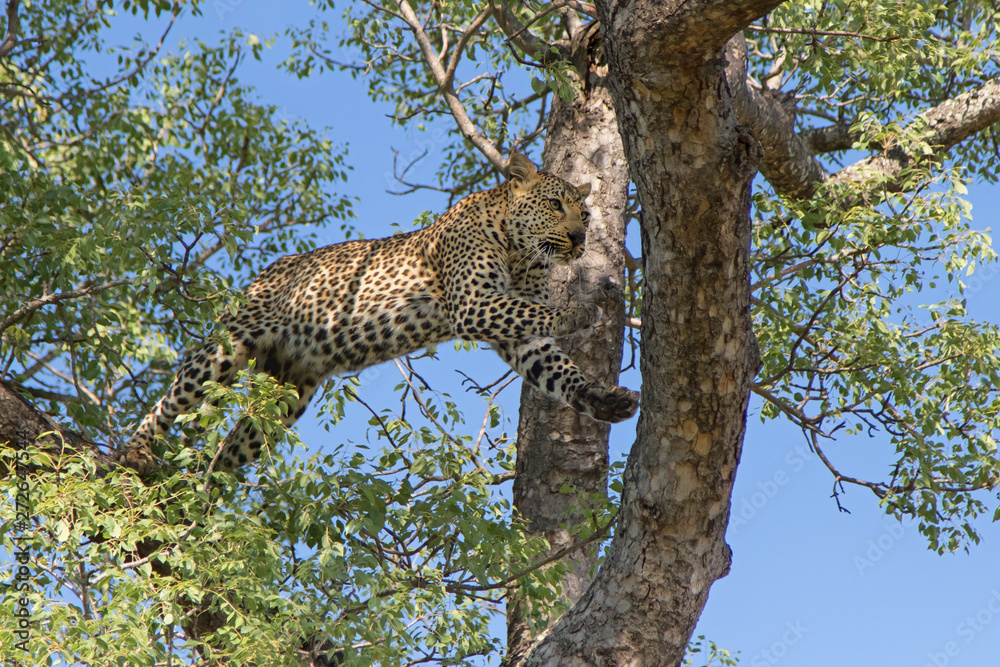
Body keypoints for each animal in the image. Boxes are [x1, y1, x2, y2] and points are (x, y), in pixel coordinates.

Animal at [119, 153, 640, 473]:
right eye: (554, 204)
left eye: (585, 215)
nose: (580, 239)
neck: (521, 254)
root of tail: (266, 271)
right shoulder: (475, 305)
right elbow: (538, 311)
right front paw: (582, 311)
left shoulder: (518, 337)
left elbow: (556, 366)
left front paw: (601, 399)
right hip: (228, 346)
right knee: (170, 399)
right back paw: (136, 452)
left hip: (287, 394)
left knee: (226, 453)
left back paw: (206, 505)